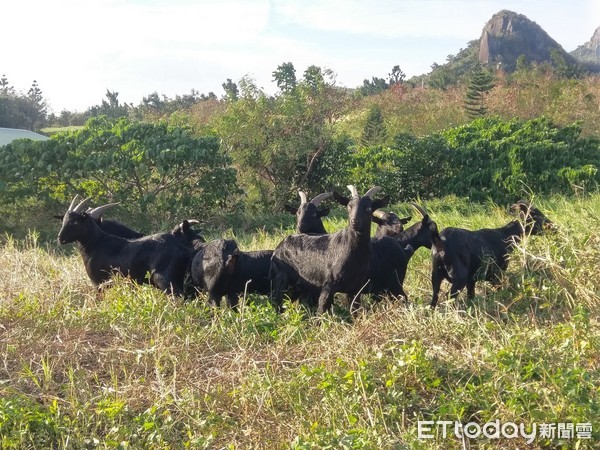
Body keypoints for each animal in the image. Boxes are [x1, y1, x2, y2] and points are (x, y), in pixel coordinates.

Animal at [57, 196, 191, 296]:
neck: (96, 243)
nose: (60, 238)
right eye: (64, 220)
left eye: (75, 222)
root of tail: (180, 248)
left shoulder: (99, 283)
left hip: (164, 279)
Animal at [272, 185, 384, 314]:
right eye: (349, 206)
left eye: (369, 208)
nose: (355, 222)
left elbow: (355, 309)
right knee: (278, 300)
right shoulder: (328, 285)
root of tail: (279, 246)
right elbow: (322, 309)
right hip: (282, 279)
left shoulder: (356, 288)